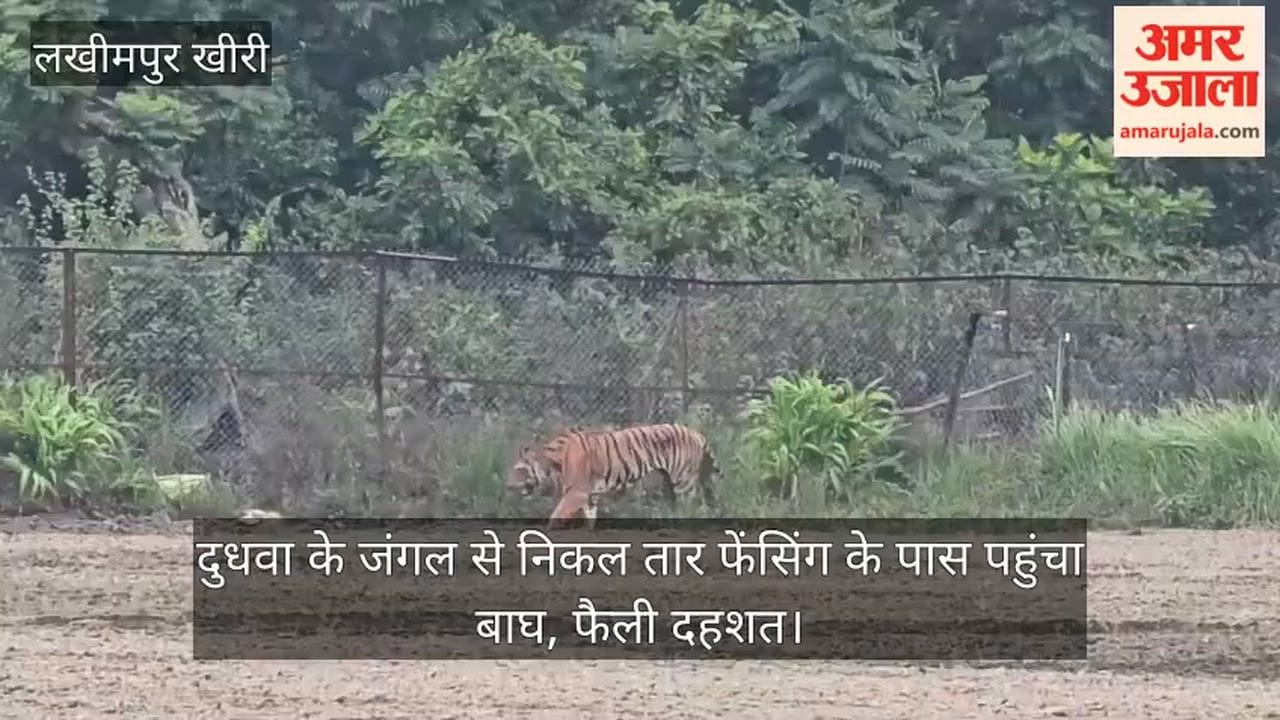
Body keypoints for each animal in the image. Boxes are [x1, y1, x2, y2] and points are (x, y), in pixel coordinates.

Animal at [505, 423, 721, 529]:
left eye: (519, 470)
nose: (508, 486)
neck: (553, 464)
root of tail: (696, 433)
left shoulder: (576, 494)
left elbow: (555, 517)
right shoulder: (590, 497)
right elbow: (589, 521)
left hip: (683, 482)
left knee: (694, 507)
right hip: (671, 483)